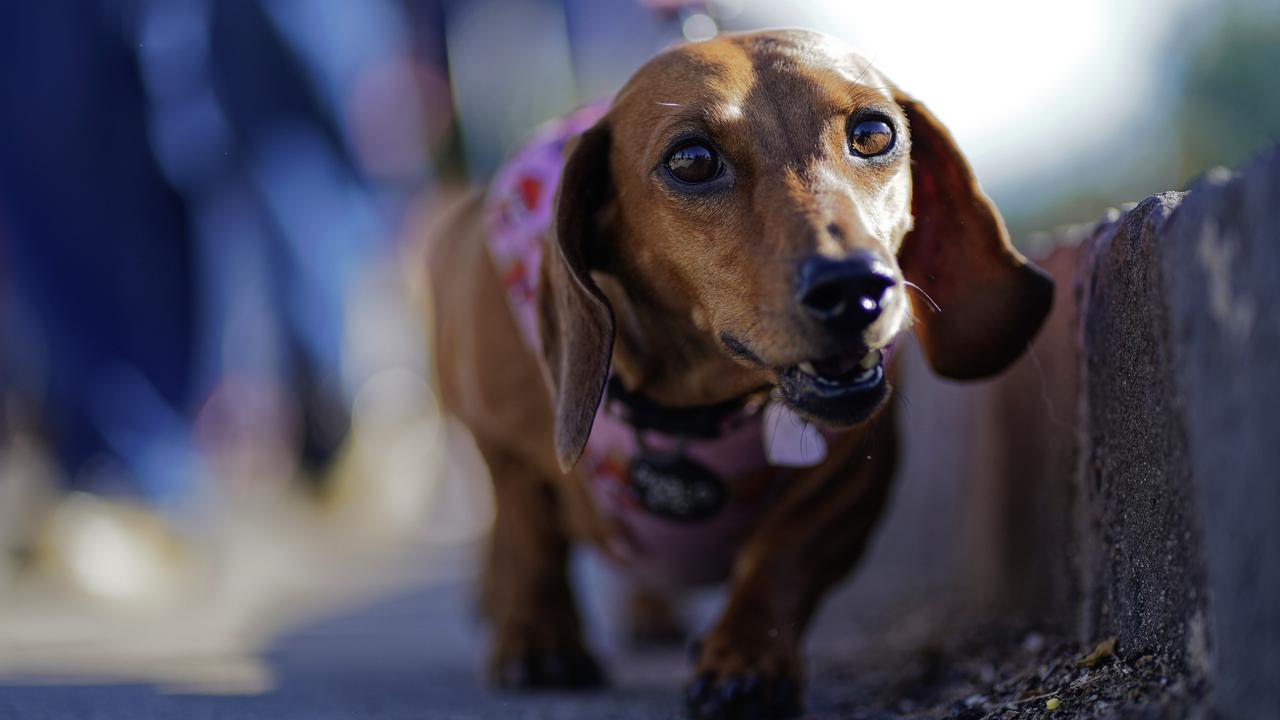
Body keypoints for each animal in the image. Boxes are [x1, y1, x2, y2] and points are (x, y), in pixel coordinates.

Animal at [430, 28, 1049, 717]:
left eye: (874, 132)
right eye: (692, 160)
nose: (855, 289)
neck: (692, 407)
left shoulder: (853, 473)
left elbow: (782, 559)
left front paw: (745, 660)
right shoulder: (505, 449)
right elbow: (530, 539)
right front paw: (540, 641)